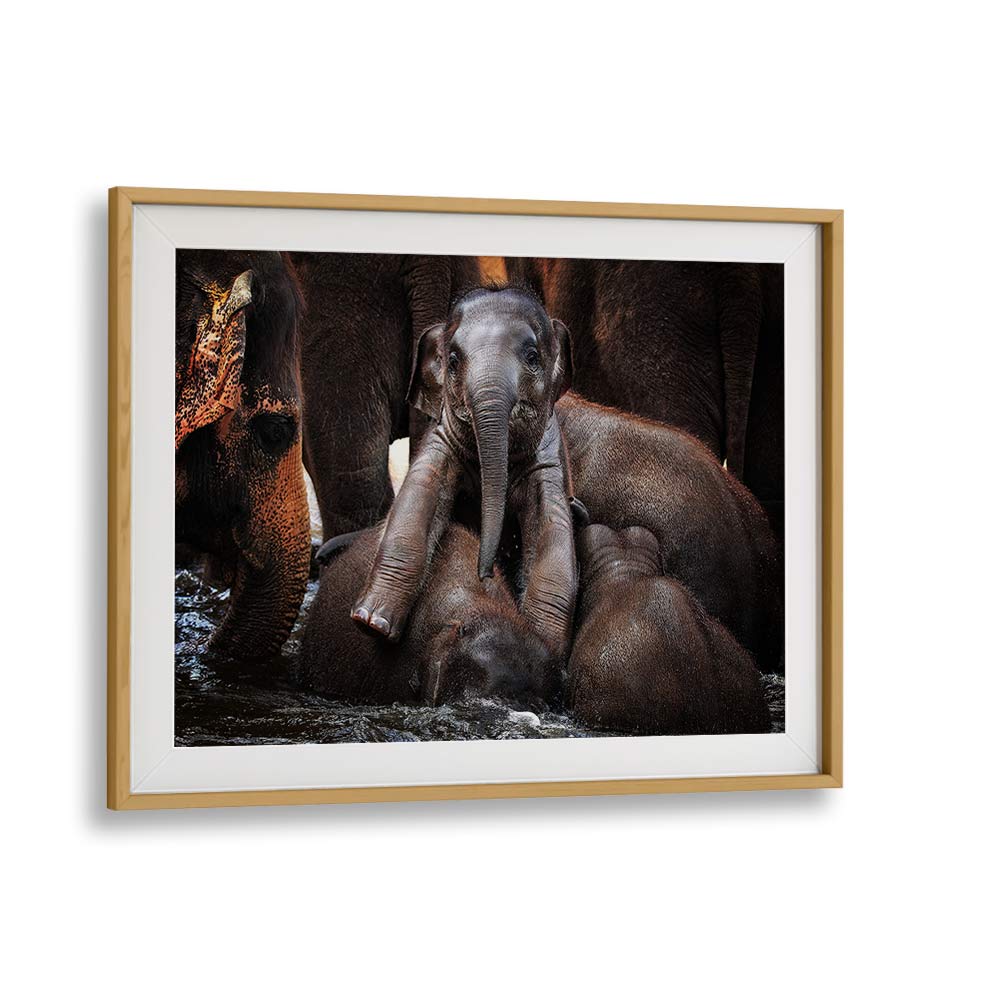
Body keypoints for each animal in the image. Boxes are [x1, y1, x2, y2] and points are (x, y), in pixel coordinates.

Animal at [351, 286, 578, 660]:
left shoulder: (549, 460)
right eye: (454, 360)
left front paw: (543, 646)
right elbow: (418, 496)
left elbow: (553, 530)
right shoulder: (441, 440)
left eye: (532, 356)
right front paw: (371, 624)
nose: (485, 573)